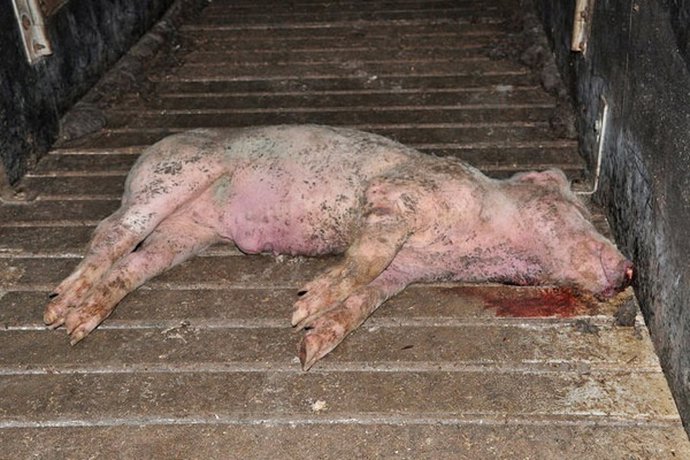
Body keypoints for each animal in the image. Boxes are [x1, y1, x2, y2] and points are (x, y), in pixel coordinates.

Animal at [43, 125, 633, 370]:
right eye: (575, 211)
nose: (630, 269)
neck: (474, 235)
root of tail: (143, 159)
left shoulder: (410, 270)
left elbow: (368, 299)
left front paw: (311, 347)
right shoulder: (397, 197)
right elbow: (365, 258)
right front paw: (302, 307)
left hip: (186, 236)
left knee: (137, 261)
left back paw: (78, 326)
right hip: (175, 176)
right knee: (111, 231)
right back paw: (56, 310)